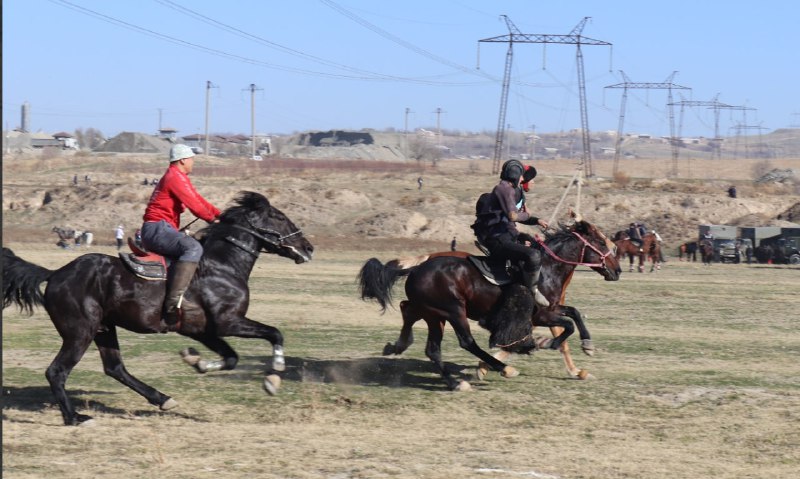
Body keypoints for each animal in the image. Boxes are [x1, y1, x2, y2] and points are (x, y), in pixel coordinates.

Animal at [3, 192, 316, 428]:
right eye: (279, 216)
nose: (308, 247)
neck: (222, 266)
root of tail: (55, 273)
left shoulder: (203, 331)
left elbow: (231, 358)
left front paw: (196, 361)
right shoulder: (229, 322)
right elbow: (274, 333)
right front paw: (274, 377)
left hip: (104, 329)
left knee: (115, 368)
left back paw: (161, 399)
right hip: (80, 333)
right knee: (57, 371)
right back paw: (74, 418)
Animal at [356, 219, 620, 392]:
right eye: (600, 242)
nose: (617, 270)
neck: (547, 269)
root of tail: (418, 267)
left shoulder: (551, 309)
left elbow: (574, 315)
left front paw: (586, 346)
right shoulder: (541, 314)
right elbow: (566, 327)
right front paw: (544, 343)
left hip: (434, 315)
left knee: (421, 332)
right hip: (453, 311)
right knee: (465, 342)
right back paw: (502, 369)